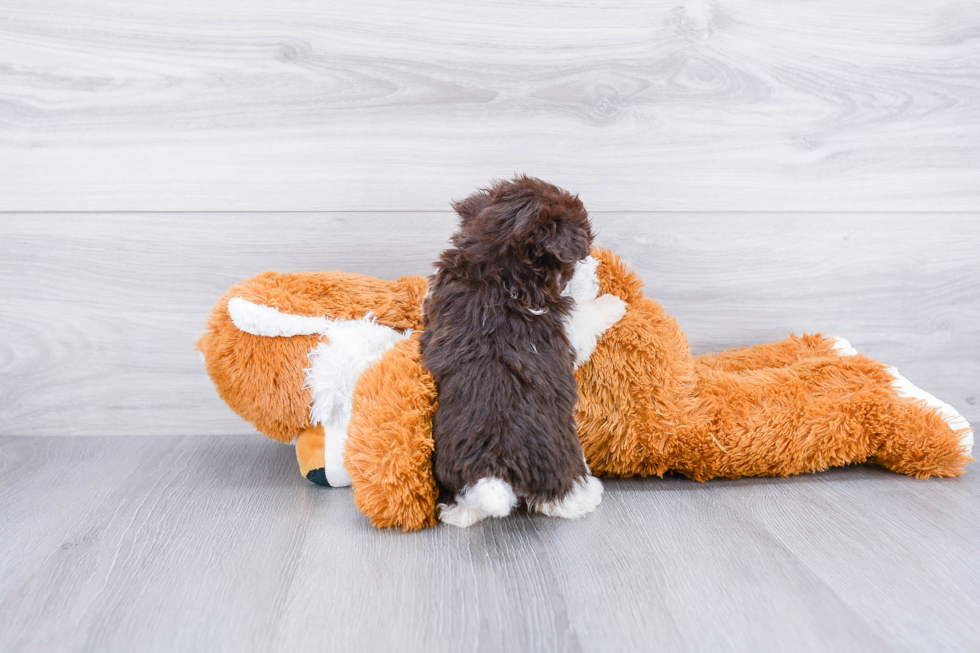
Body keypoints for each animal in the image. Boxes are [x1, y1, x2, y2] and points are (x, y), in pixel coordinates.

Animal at [422, 176, 604, 528]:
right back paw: (587, 498)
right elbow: (589, 320)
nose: (598, 271)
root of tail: (493, 466)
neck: (495, 268)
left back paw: (456, 514)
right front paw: (615, 303)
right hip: (560, 458)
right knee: (562, 492)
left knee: (463, 504)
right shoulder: (566, 328)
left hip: (454, 469)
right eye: (582, 254)